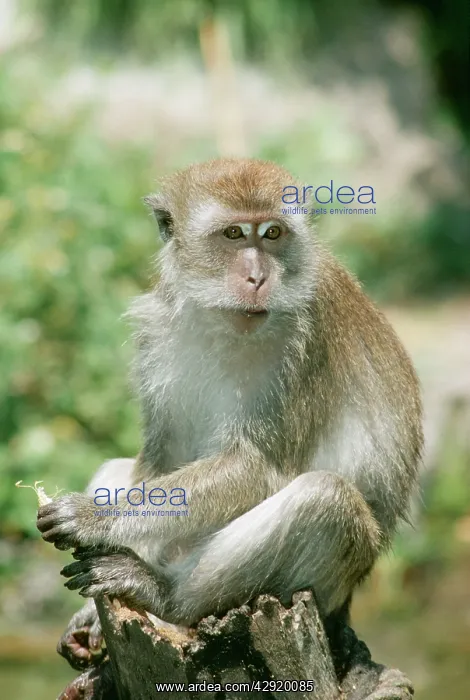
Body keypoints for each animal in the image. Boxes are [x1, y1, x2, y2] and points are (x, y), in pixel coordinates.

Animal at [37, 158, 423, 670]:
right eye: (235, 234)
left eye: (273, 233)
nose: (258, 278)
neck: (221, 318)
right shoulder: (157, 332)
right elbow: (161, 458)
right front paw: (90, 614)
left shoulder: (301, 340)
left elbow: (257, 468)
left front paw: (94, 518)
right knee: (120, 468)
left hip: (329, 587)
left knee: (325, 499)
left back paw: (164, 595)